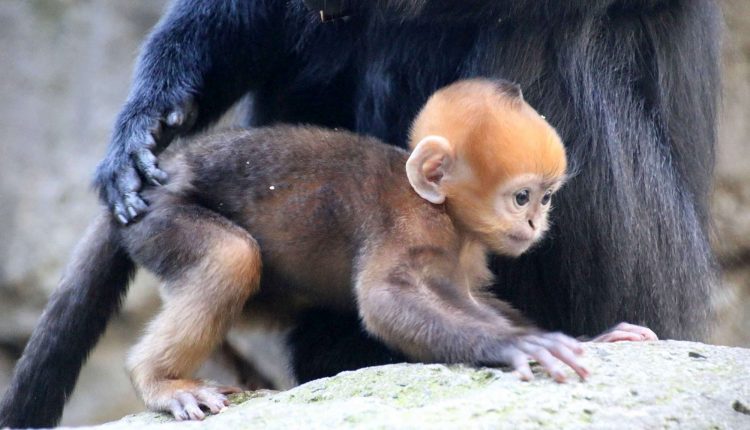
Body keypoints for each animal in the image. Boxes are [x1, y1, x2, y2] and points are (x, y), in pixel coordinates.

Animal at [0, 78, 656, 426]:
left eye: (546, 197)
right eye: (521, 197)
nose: (536, 221)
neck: (446, 213)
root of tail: (146, 181)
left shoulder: (463, 256)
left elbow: (471, 301)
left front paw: (592, 335)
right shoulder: (409, 226)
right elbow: (386, 302)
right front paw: (521, 347)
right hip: (160, 218)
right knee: (231, 256)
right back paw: (162, 381)